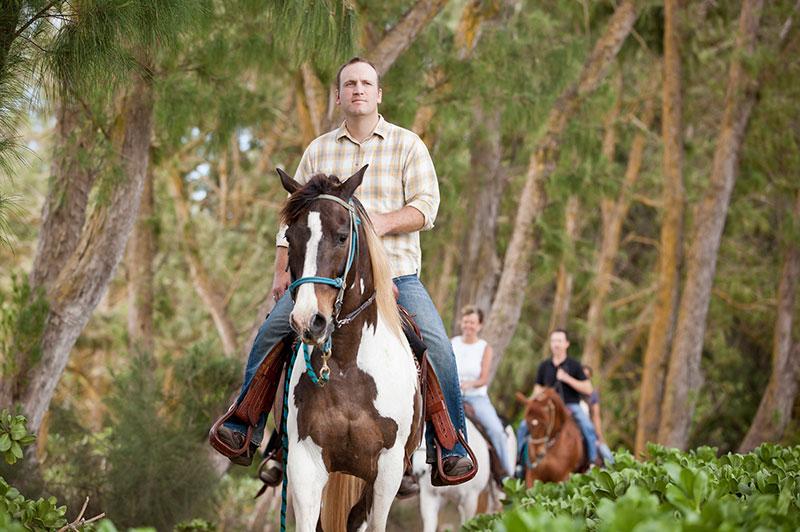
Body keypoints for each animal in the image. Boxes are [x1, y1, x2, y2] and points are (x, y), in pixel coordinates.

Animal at [276, 167, 422, 532]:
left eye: (342, 236)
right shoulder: (304, 464)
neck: (345, 365)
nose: (309, 320)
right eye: (290, 237)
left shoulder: (387, 471)